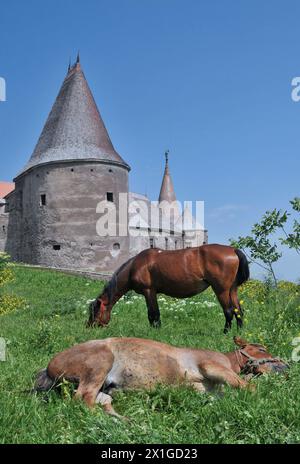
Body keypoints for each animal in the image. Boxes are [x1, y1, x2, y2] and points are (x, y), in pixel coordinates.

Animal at [33, 336, 288, 418]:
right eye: (262, 349)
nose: (285, 366)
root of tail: (48, 367)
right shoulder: (212, 366)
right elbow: (248, 387)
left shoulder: (203, 389)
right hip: (100, 363)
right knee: (83, 400)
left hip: (104, 386)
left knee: (101, 401)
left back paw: (129, 422)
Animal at [88, 245, 250, 332]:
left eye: (95, 312)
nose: (89, 327)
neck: (136, 265)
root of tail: (233, 250)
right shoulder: (152, 293)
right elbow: (155, 313)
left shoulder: (149, 291)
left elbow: (153, 314)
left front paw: (155, 331)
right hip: (232, 290)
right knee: (238, 310)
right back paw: (239, 331)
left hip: (221, 290)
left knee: (228, 311)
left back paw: (225, 332)